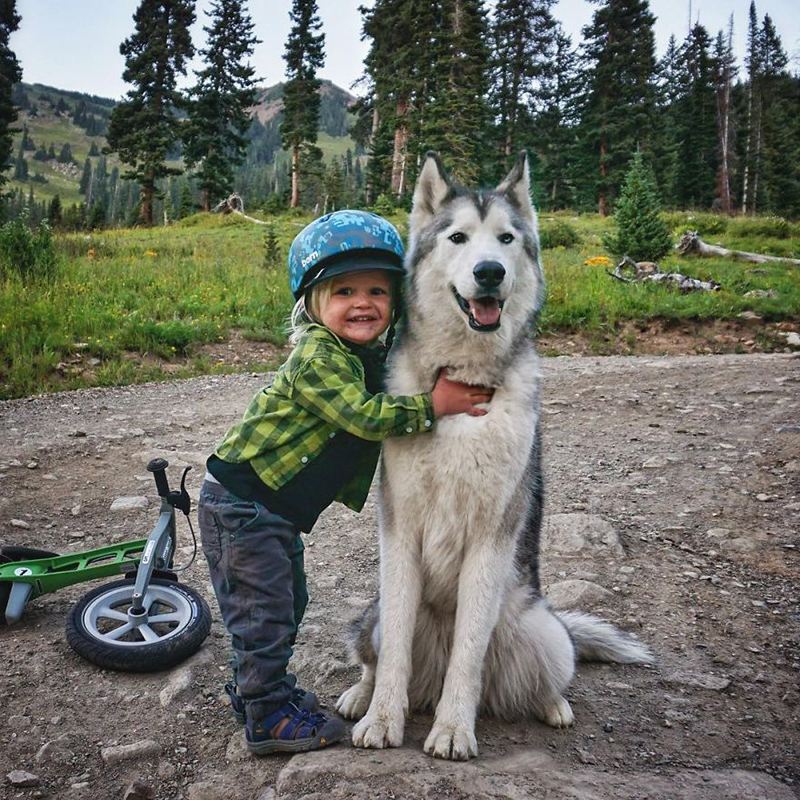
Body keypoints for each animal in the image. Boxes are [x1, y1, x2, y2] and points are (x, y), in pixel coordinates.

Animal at [334, 152, 652, 764]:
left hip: (546, 631)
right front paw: (383, 718)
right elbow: (394, 658)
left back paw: (552, 705)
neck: (463, 382)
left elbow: (469, 654)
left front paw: (454, 729)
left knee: (538, 676)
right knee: (376, 657)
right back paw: (361, 695)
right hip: (375, 615)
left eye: (506, 239)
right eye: (458, 237)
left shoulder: (489, 537)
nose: (489, 272)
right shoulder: (400, 531)